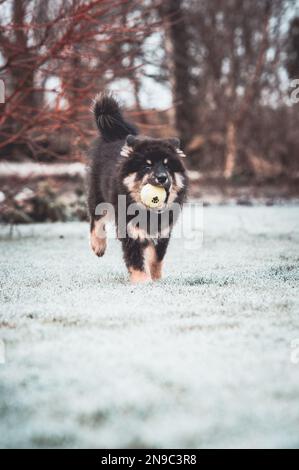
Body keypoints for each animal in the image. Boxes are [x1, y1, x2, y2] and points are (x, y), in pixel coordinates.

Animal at [88, 93, 189, 280]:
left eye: (167, 166)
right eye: (147, 166)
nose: (162, 178)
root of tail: (114, 135)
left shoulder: (162, 232)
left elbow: (155, 258)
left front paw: (156, 279)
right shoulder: (130, 230)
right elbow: (135, 260)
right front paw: (142, 281)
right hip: (98, 194)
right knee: (96, 219)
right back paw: (98, 245)